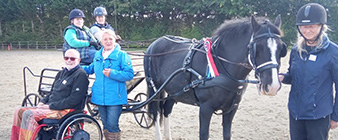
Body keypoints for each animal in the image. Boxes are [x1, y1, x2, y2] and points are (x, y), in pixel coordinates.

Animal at [143, 15, 286, 140]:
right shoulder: (205, 108)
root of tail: (154, 44)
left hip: (175, 91)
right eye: (258, 47)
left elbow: (227, 135)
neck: (221, 67)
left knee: (167, 108)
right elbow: (204, 135)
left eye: (281, 48)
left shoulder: (231, 109)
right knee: (156, 112)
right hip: (155, 89)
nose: (272, 86)